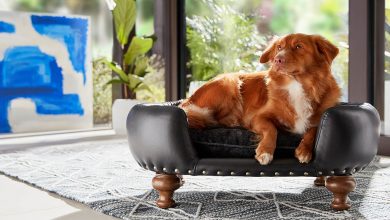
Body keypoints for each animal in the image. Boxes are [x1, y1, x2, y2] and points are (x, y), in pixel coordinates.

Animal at [178, 33, 340, 164]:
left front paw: (304, 150)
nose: (277, 60)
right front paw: (265, 151)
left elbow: (314, 129)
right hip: (228, 81)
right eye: (279, 47)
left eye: (299, 46)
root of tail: (187, 101)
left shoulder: (319, 117)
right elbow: (271, 129)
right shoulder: (258, 117)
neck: (296, 84)